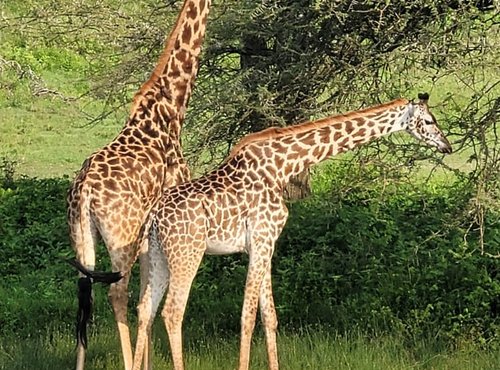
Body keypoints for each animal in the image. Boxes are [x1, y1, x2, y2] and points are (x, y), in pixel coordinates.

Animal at [67, 1, 213, 368]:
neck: (171, 107)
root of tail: (85, 190)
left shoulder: (150, 230)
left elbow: (148, 295)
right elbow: (148, 296)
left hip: (82, 235)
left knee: (84, 295)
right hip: (123, 235)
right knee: (117, 291)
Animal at [130, 93, 454, 370]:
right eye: (428, 121)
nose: (447, 146)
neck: (284, 165)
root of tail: (154, 216)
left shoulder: (264, 244)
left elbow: (269, 316)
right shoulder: (262, 238)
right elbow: (248, 315)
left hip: (156, 254)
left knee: (145, 309)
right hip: (188, 253)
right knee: (172, 312)